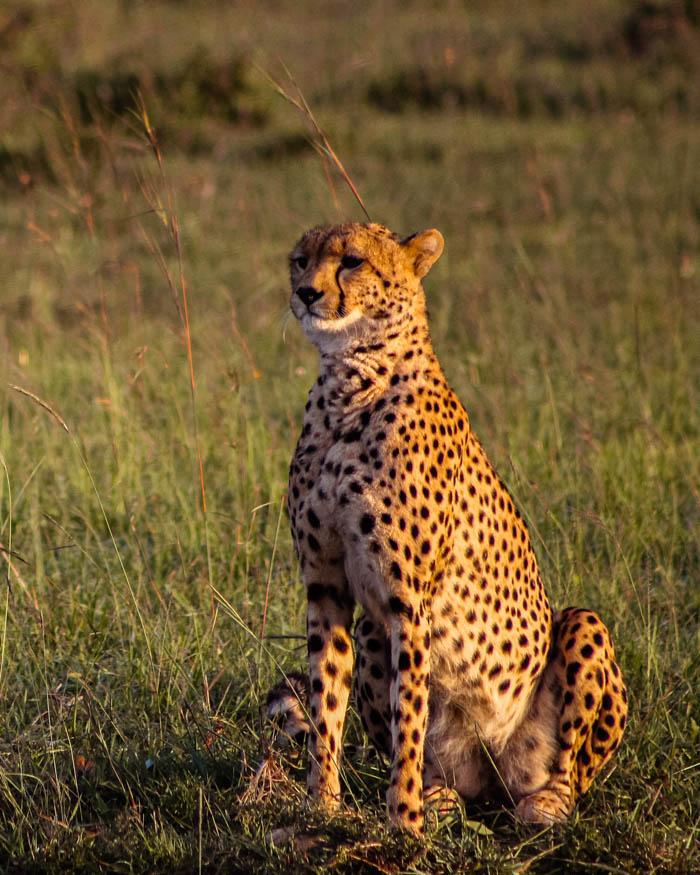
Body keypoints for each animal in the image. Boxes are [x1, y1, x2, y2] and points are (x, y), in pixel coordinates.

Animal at [270, 221, 628, 836]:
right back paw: (438, 794)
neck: (351, 381)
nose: (306, 293)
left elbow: (408, 712)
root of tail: (493, 774)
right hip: (372, 633)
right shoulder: (327, 585)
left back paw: (544, 801)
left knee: (570, 771)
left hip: (582, 629)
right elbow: (326, 703)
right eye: (300, 260)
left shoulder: (408, 598)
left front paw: (403, 824)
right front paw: (322, 806)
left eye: (352, 261)